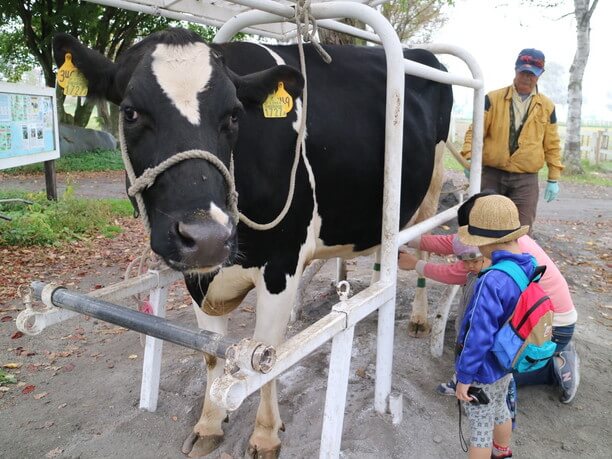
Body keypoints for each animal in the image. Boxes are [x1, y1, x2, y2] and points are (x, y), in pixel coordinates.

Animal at [53, 27, 454, 456]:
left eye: (233, 114)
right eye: (130, 112)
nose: (208, 236)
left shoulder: (282, 262)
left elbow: (267, 354)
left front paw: (264, 435)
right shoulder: (198, 274)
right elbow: (210, 351)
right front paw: (209, 424)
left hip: (430, 188)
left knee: (419, 246)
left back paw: (418, 318)